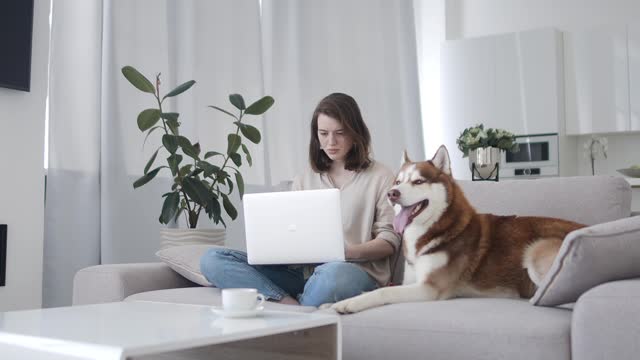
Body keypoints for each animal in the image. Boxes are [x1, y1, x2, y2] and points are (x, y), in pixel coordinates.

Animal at [332, 145, 588, 314]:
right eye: (397, 182)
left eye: (418, 181)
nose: (391, 194)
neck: (434, 229)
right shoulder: (410, 282)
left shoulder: (430, 288)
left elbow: (384, 292)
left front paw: (348, 302)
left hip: (535, 251)